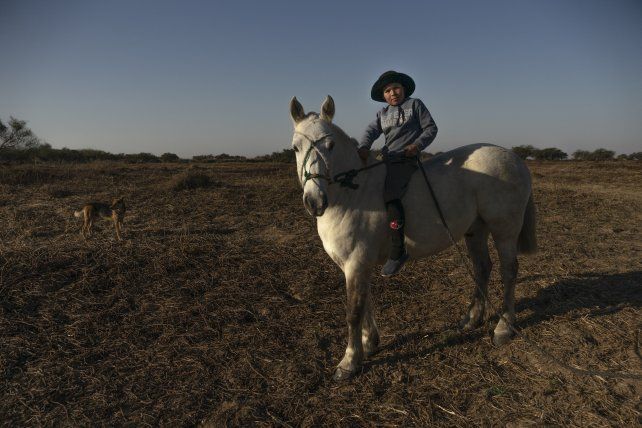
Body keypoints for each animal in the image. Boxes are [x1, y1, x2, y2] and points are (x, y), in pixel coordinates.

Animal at [289, 96, 537, 380]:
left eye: (330, 146)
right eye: (295, 148)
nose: (314, 202)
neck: (352, 194)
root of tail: (514, 157)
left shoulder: (356, 262)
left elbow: (353, 311)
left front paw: (349, 362)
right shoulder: (355, 265)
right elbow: (365, 303)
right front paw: (369, 343)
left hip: (504, 230)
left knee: (509, 271)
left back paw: (503, 327)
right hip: (475, 230)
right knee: (482, 268)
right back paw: (472, 318)